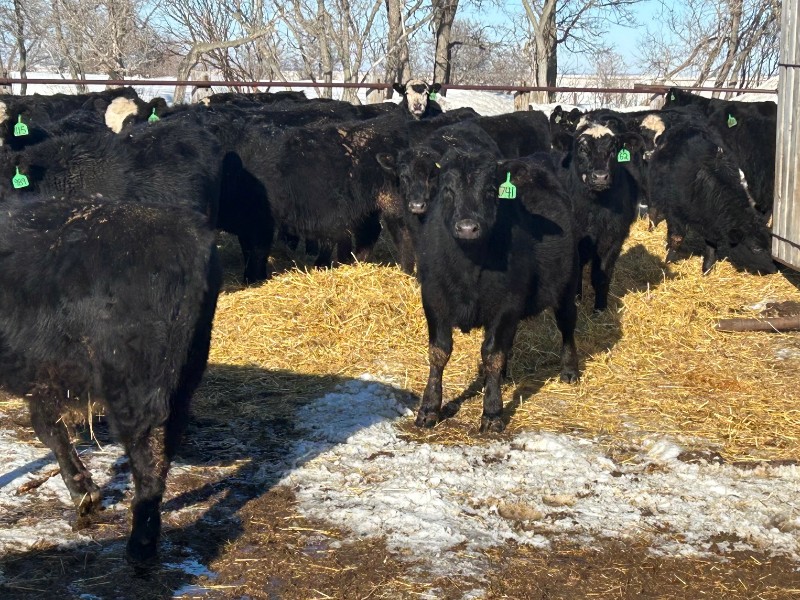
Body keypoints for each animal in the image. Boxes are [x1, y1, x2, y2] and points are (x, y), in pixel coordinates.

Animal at [0, 193, 222, 565]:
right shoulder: (44, 375)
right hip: (183, 378)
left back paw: (140, 544)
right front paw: (84, 493)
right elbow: (51, 430)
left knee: (147, 463)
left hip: (134, 387)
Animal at [414, 149, 580, 432]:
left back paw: (569, 370)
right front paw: (428, 409)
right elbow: (439, 353)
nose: (467, 227)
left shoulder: (507, 304)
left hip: (567, 284)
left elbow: (492, 354)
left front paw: (492, 412)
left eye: (491, 190)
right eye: (447, 189)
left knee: (567, 323)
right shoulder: (433, 298)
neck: (469, 267)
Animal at [559, 122, 643, 311]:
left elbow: (602, 275)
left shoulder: (613, 239)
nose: (600, 177)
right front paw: (576, 299)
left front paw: (600, 308)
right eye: (582, 149)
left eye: (613, 149)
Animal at [647, 120, 777, 275]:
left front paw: (707, 268)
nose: (774, 269)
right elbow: (676, 238)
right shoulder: (675, 214)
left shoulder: (710, 223)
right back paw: (651, 227)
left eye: (770, 246)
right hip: (655, 189)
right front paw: (668, 260)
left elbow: (711, 245)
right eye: (756, 249)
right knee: (653, 209)